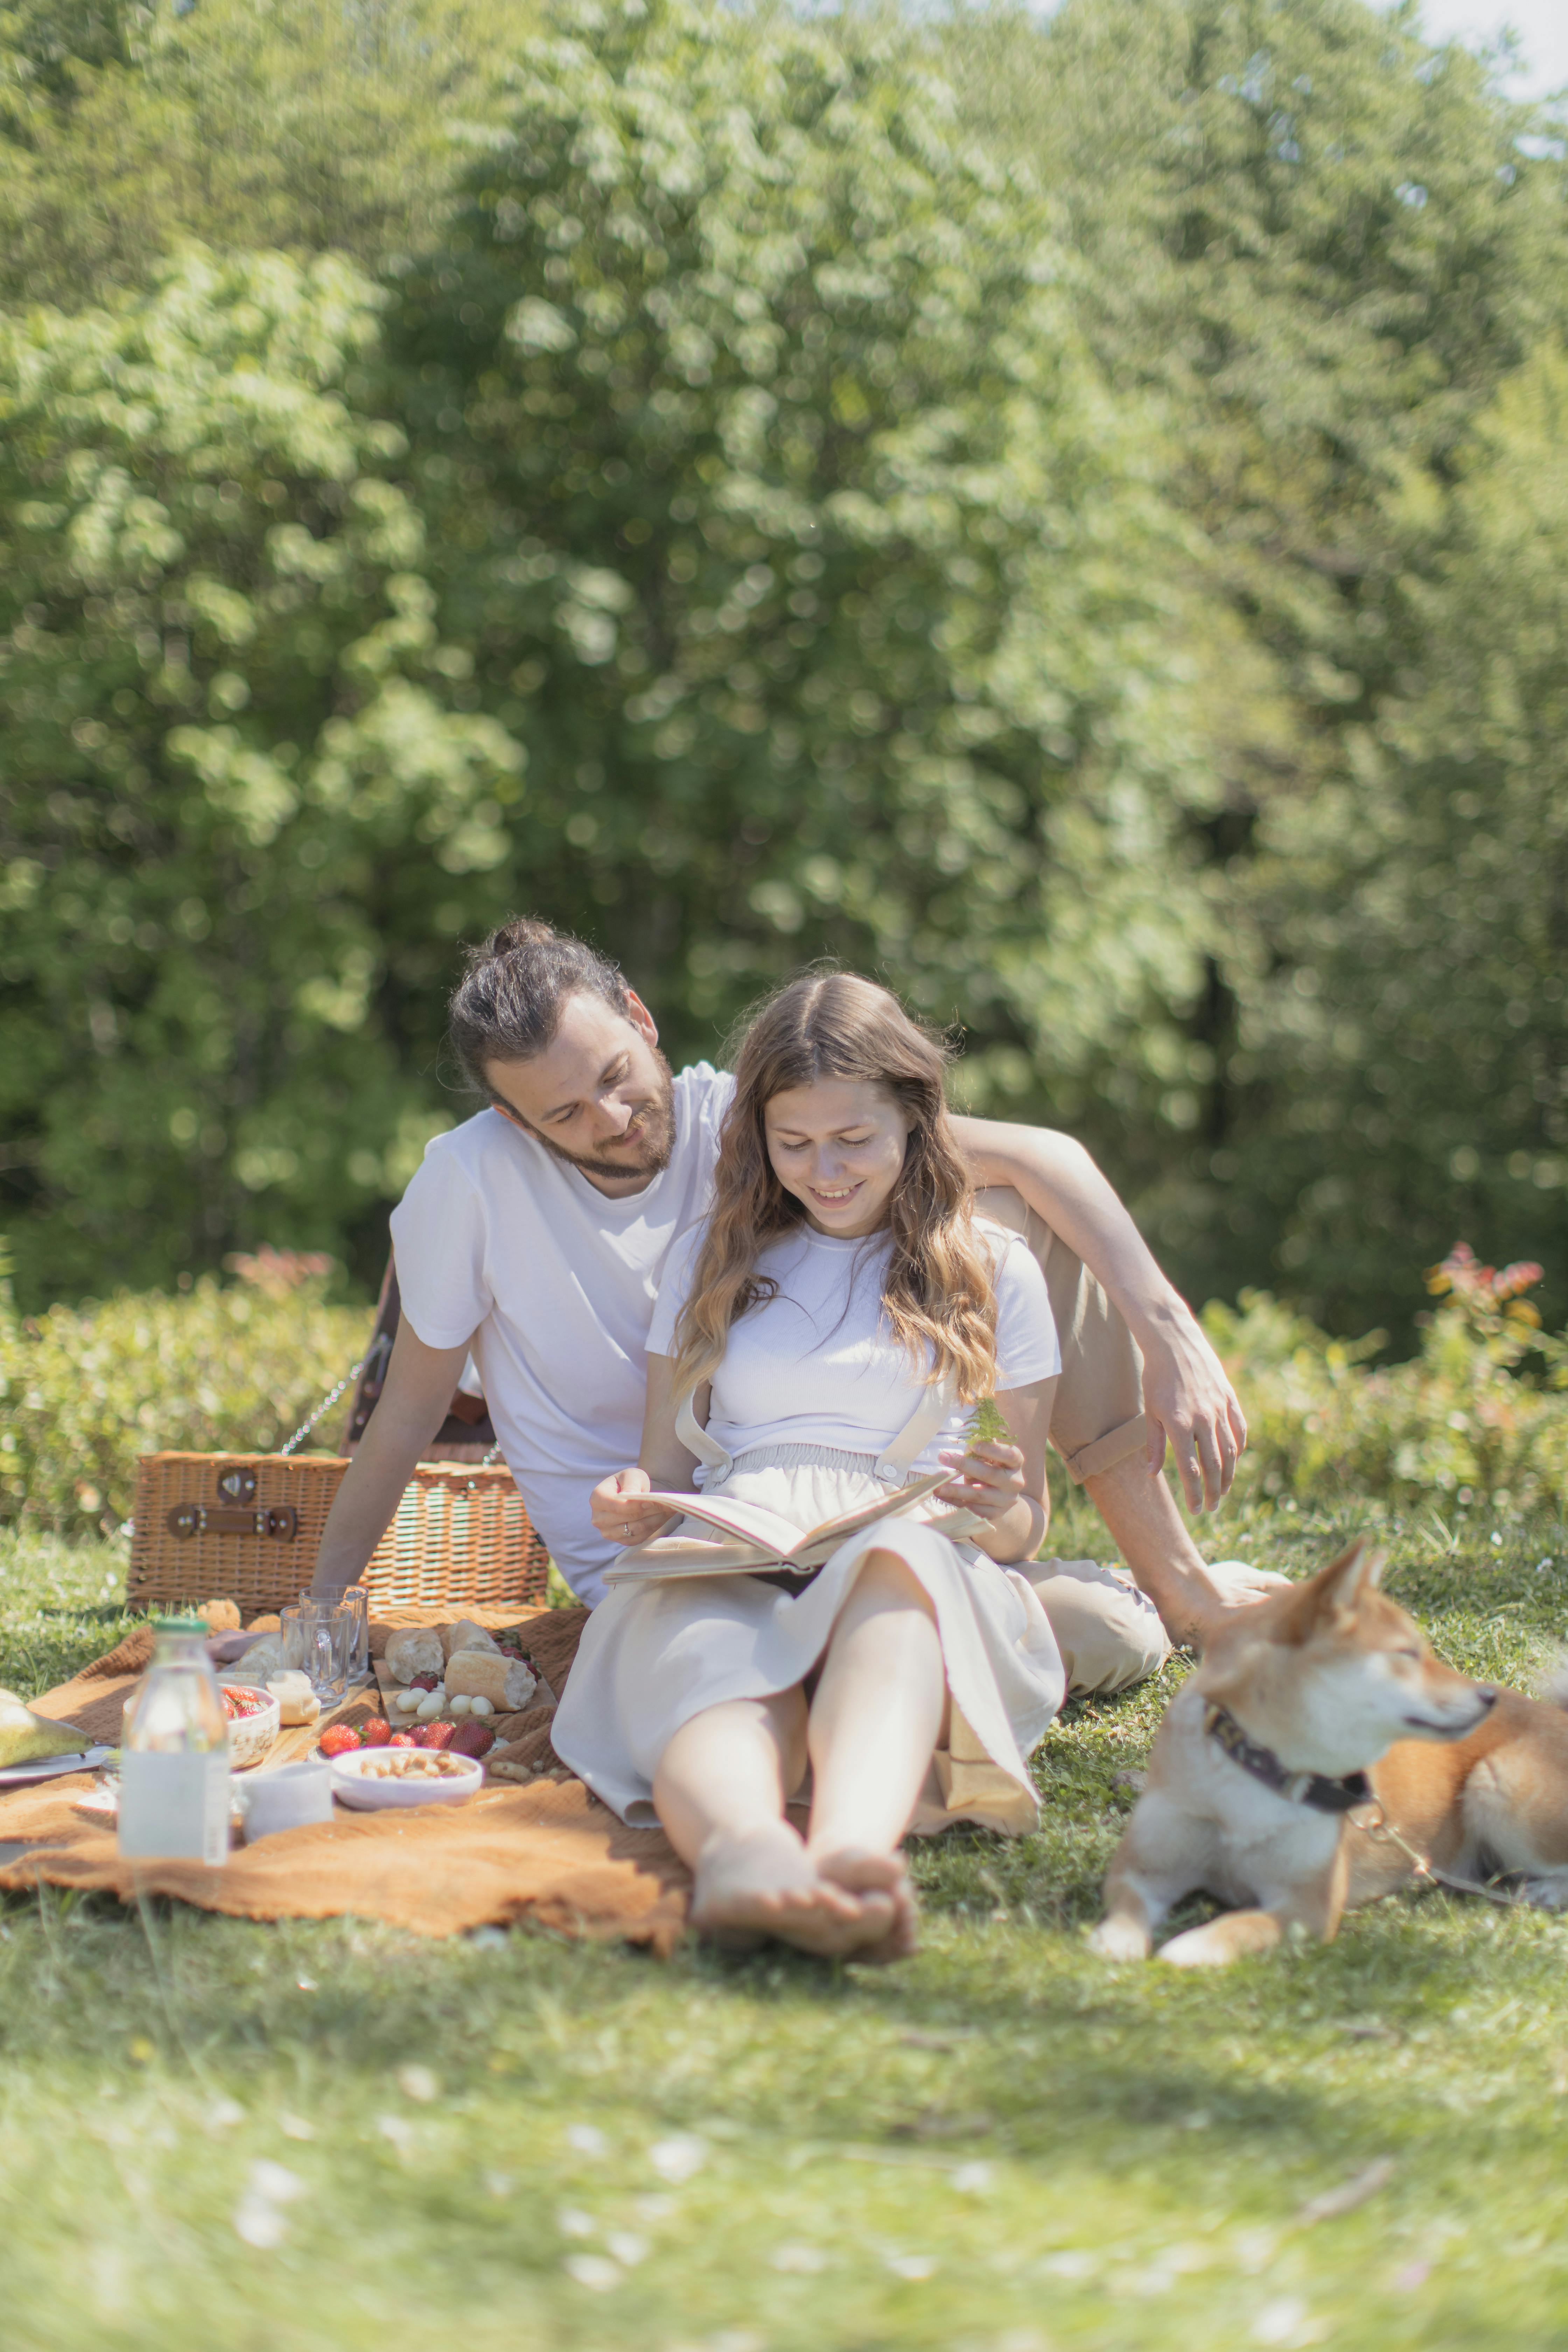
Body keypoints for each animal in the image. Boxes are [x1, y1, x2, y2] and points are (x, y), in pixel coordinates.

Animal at [1086, 1543, 1568, 1966]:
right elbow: (1127, 1908)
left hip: (1496, 1787)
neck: (1258, 1770)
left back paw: (1545, 1893)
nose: (1488, 1697)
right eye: (1406, 1653)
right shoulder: (1143, 1869)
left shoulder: (1308, 1906)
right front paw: (1114, 1943)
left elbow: (1240, 1925)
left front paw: (1191, 1949)